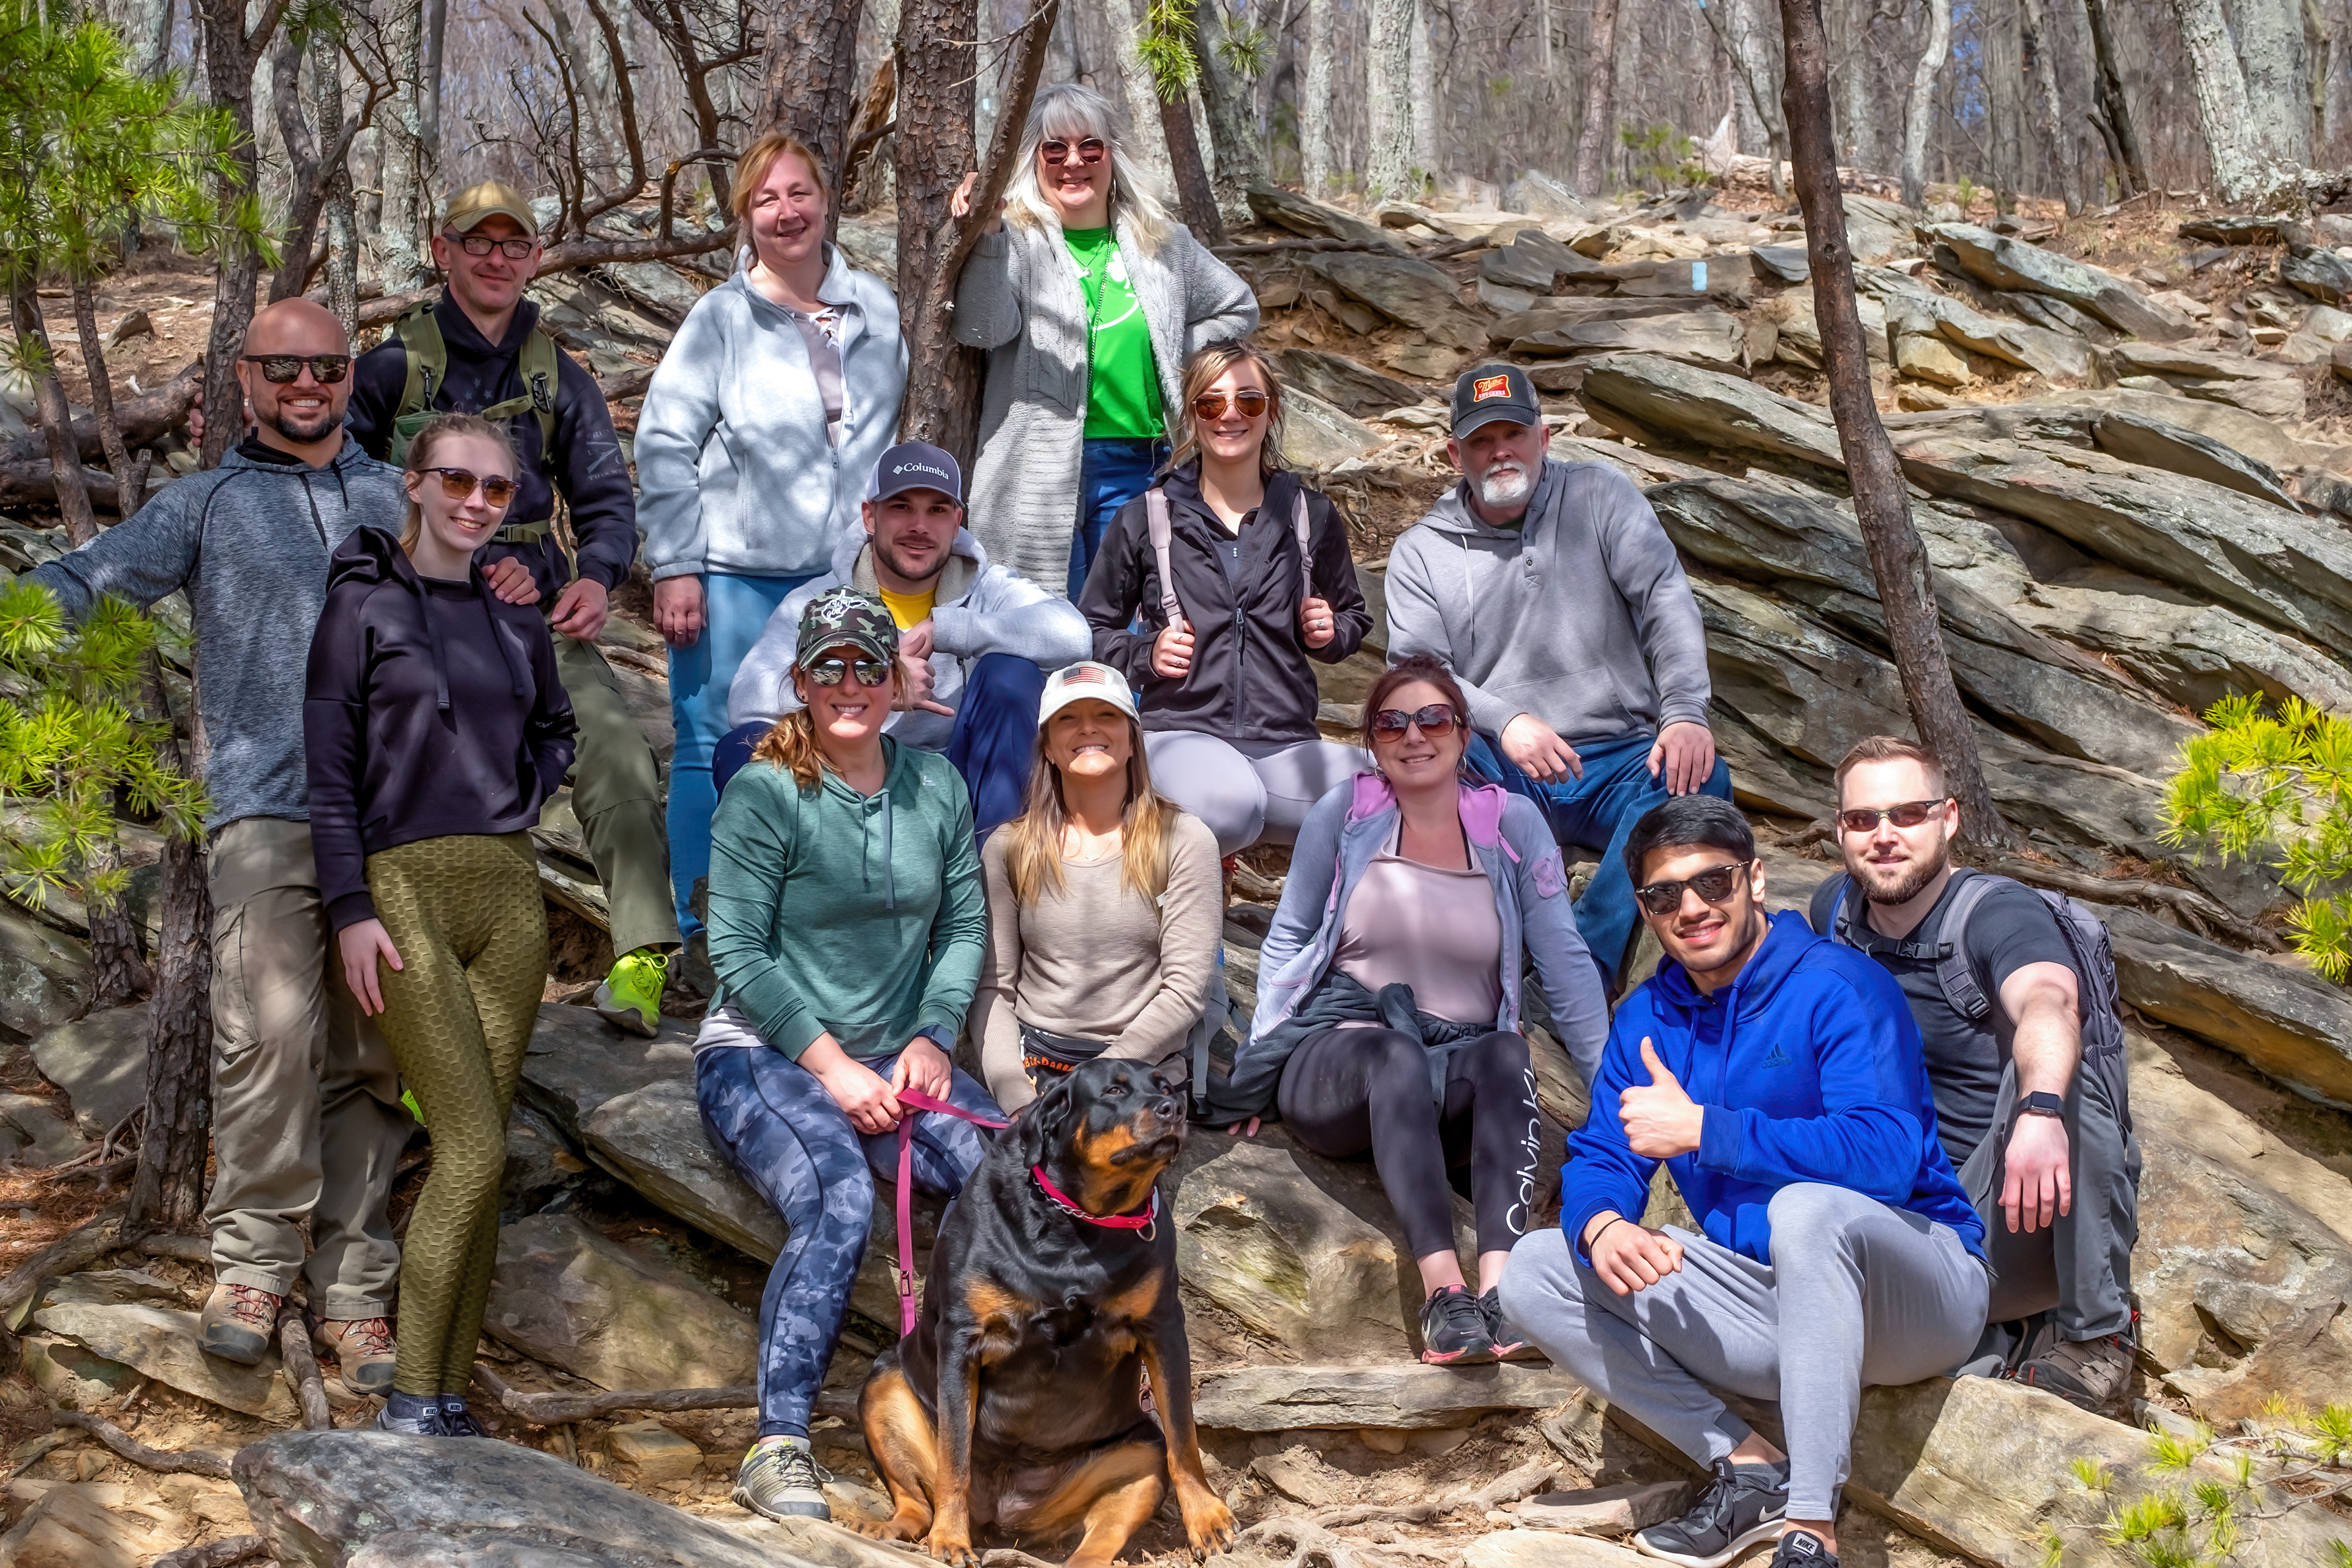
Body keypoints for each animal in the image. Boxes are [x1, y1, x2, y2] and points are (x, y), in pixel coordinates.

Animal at [856, 1058, 1236, 1568]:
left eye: (1168, 1087)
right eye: (1114, 1091)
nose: (1174, 1109)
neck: (1079, 1222)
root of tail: (1004, 1515)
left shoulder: (1164, 1329)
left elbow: (1183, 1435)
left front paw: (1206, 1516)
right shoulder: (961, 1339)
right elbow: (954, 1458)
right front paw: (950, 1539)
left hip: (1139, 1452)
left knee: (1102, 1534)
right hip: (884, 1382)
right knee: (917, 1499)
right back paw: (892, 1526)